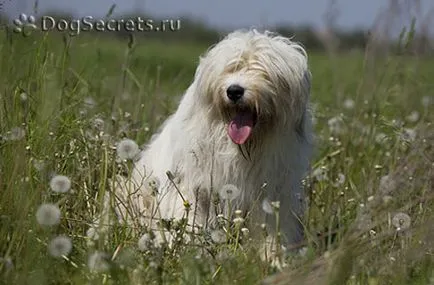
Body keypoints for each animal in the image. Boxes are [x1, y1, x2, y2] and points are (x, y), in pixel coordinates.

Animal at [112, 28, 312, 254]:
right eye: (230, 68)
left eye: (263, 71)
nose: (234, 91)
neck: (241, 147)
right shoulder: (193, 188)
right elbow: (189, 219)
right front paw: (187, 251)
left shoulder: (275, 192)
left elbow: (273, 229)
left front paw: (274, 257)